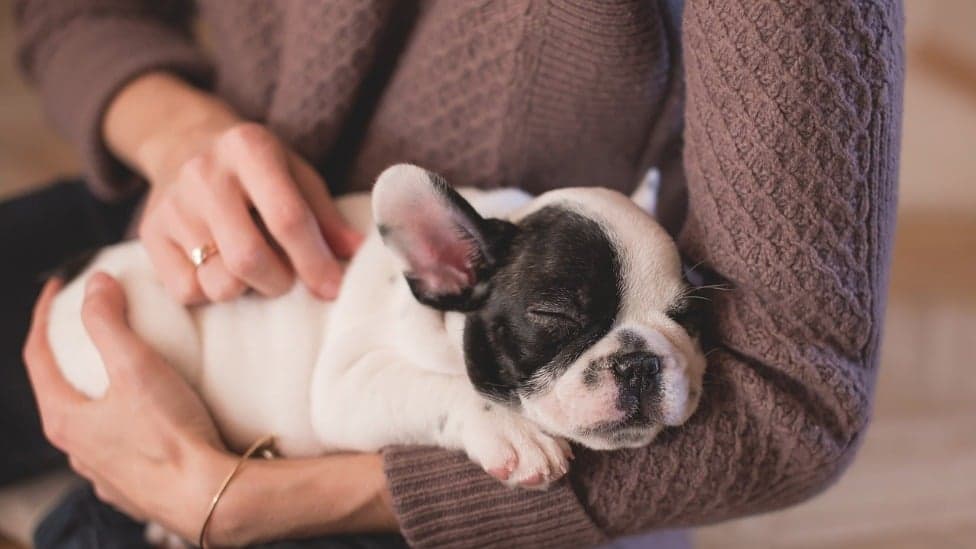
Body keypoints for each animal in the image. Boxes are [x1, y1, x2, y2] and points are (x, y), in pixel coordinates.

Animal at [45, 163, 704, 488]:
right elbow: (440, 387)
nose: (640, 361)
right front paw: (514, 433)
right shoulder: (347, 385)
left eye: (688, 317)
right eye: (555, 315)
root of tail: (76, 271)